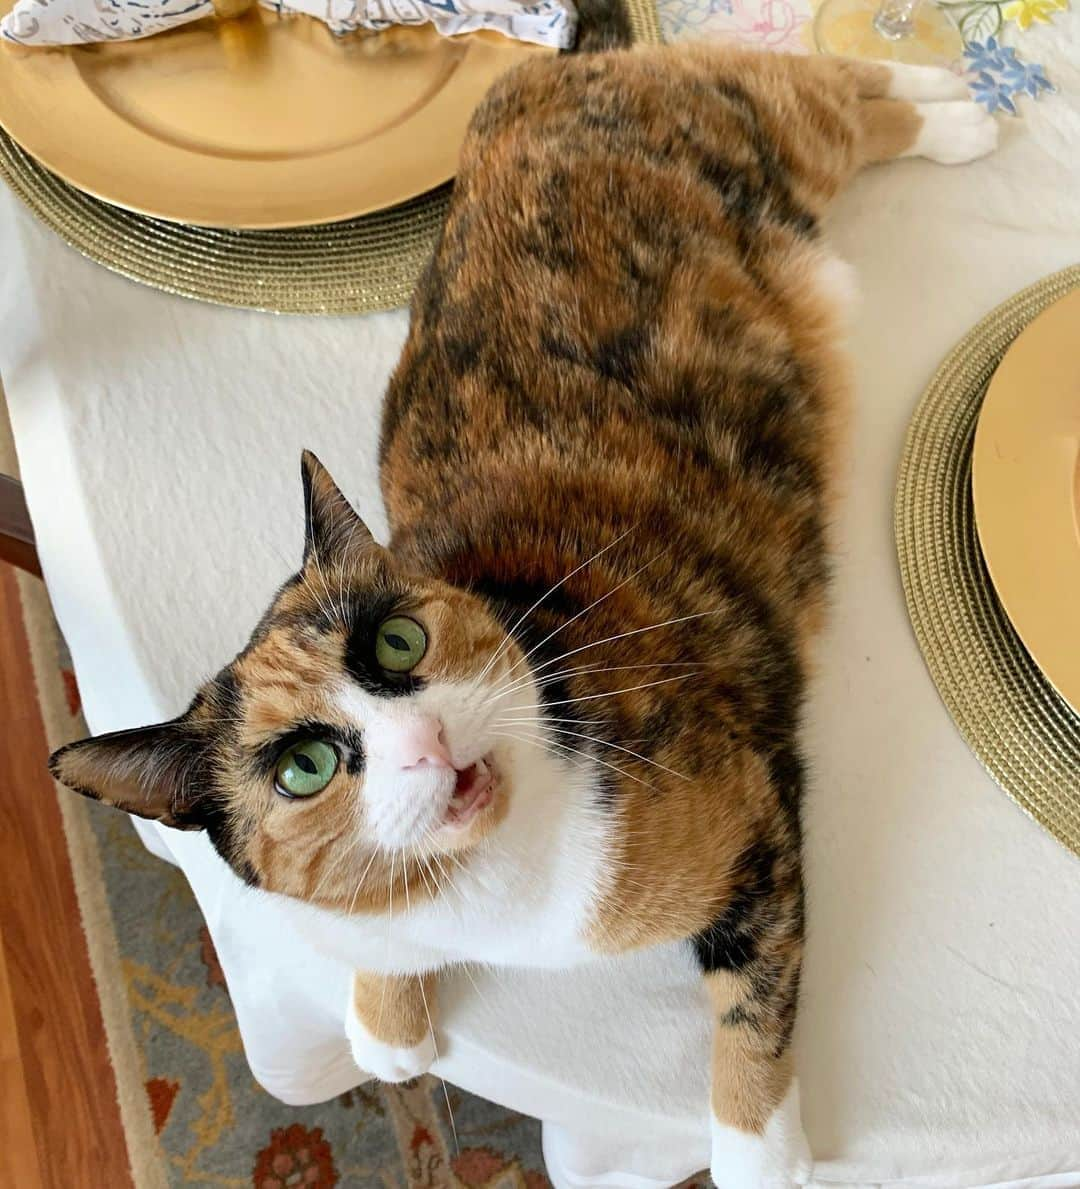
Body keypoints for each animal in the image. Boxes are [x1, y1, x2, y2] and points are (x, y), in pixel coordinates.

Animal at [48, 43, 994, 1189]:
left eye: (398, 639)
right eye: (305, 766)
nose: (425, 738)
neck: (492, 885)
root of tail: (562, 71)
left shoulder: (750, 819)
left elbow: (752, 1009)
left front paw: (755, 1147)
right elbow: (376, 944)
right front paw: (386, 1021)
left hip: (758, 132)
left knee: (817, 85)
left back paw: (955, 110)